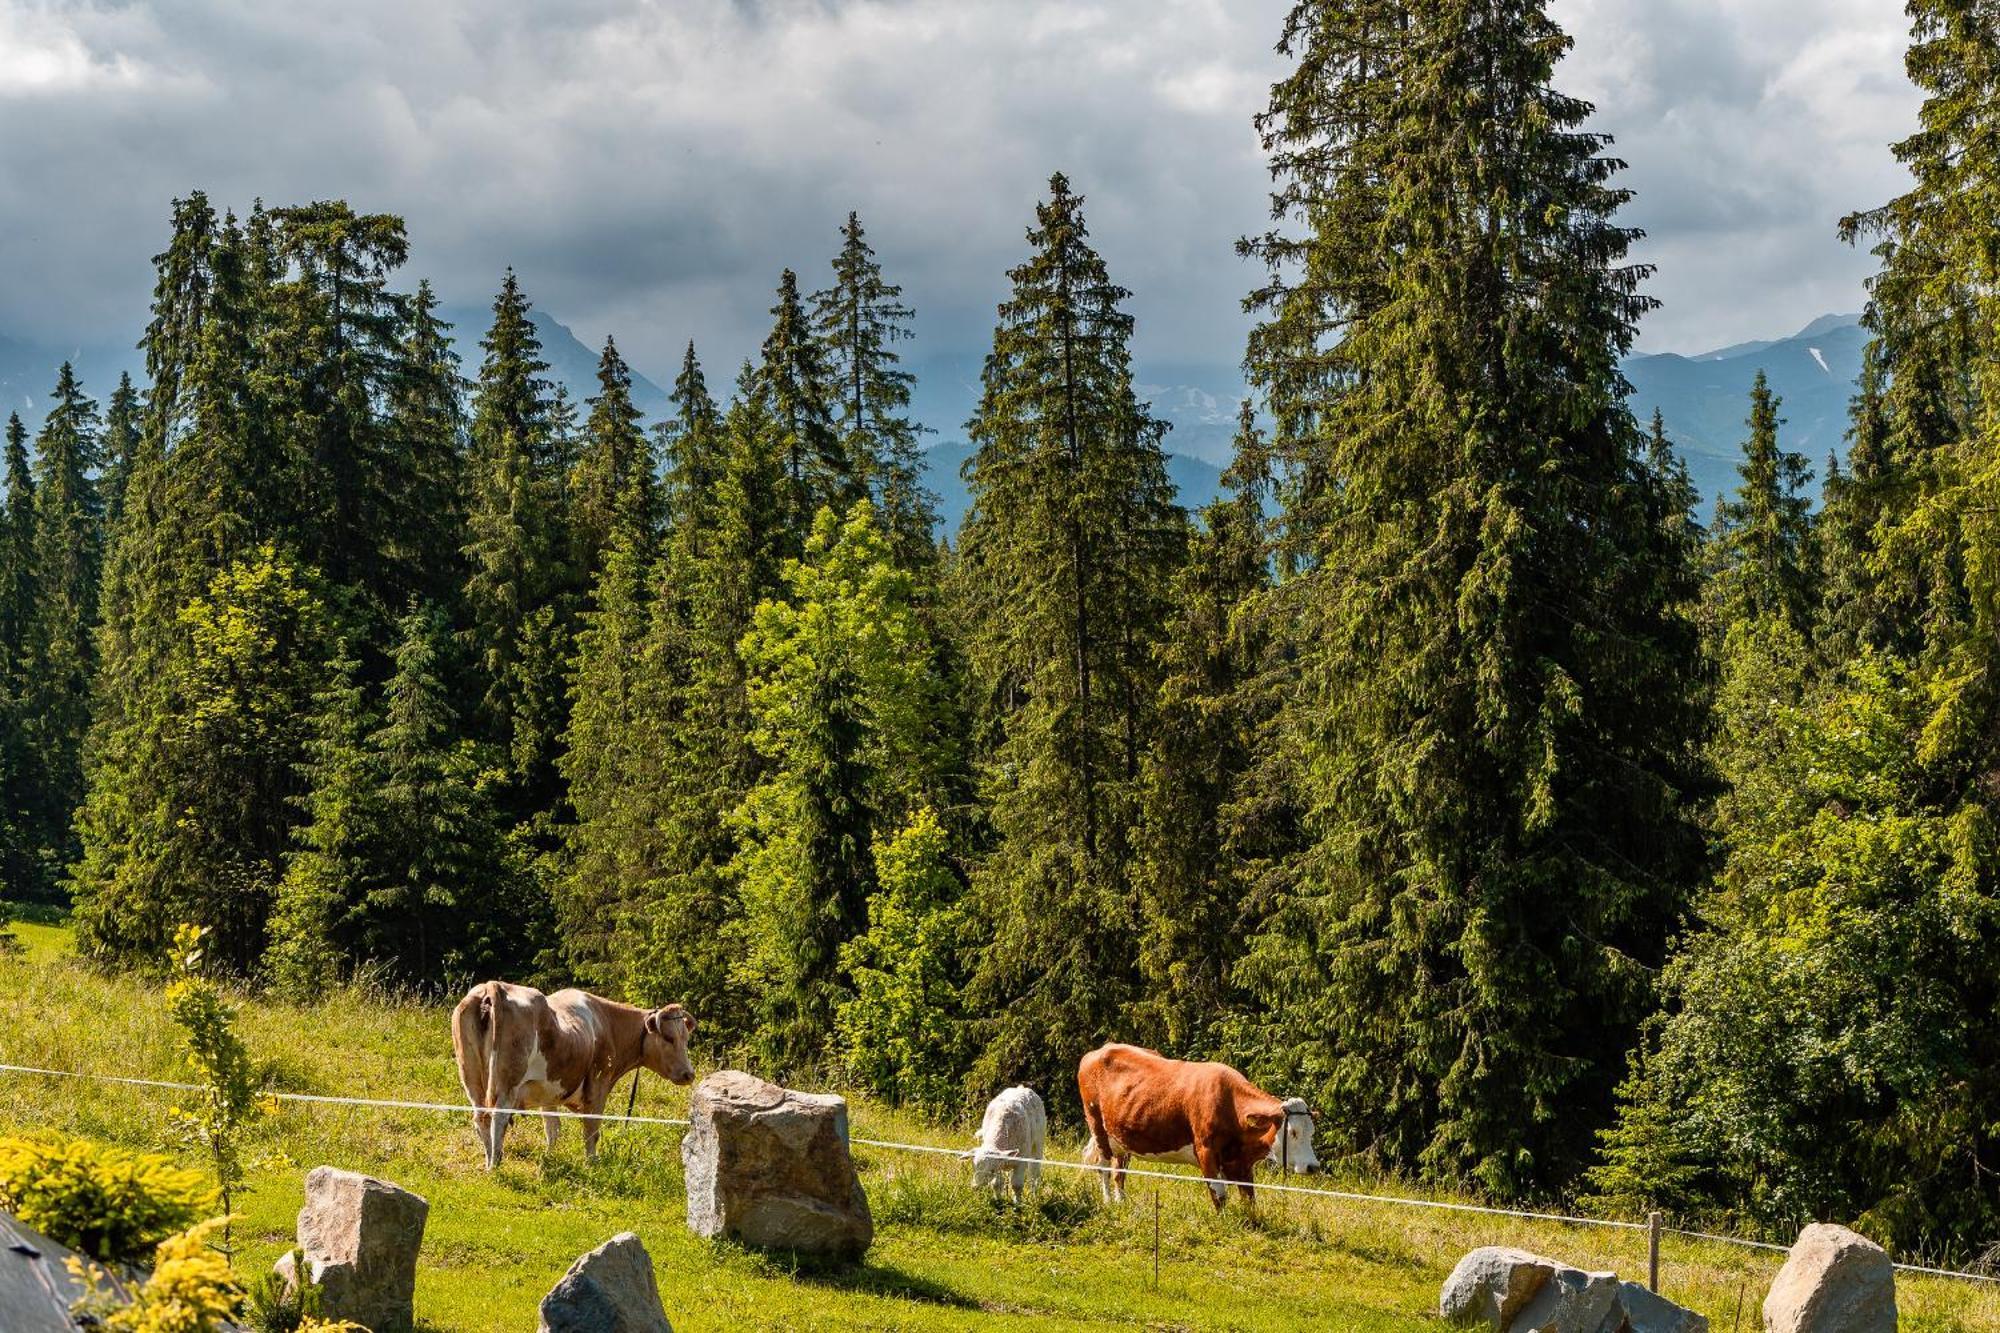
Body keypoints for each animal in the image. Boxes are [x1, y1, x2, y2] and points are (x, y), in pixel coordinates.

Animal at [452, 976, 696, 1160]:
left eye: (686, 1038)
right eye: (668, 1038)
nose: (689, 1074)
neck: (606, 1022)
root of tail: (493, 986)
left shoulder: (548, 1091)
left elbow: (553, 1129)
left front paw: (549, 1157)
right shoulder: (598, 1085)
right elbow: (592, 1129)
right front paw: (592, 1163)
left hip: (471, 1078)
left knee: (481, 1118)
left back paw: (489, 1161)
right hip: (507, 1083)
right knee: (498, 1118)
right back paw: (495, 1164)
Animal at [1080, 1040, 1312, 1208]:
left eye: (1311, 1132)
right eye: (1293, 1132)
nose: (1313, 1166)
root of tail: (1101, 1049)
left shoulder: (1240, 1162)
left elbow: (1249, 1197)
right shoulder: (1205, 1151)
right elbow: (1219, 1195)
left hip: (1122, 1135)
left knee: (1119, 1171)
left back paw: (1121, 1201)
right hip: (1096, 1124)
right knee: (1103, 1167)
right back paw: (1108, 1202)